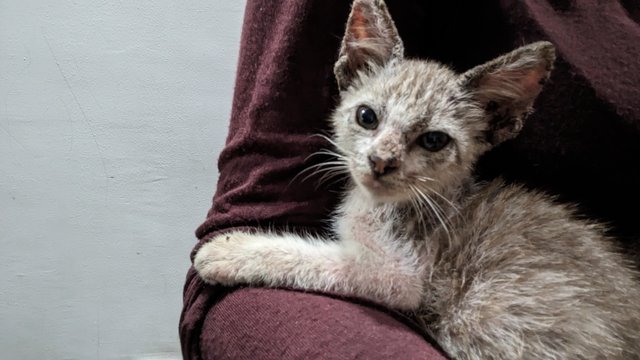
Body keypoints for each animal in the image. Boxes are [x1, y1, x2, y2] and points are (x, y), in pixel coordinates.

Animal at [194, 0, 640, 358]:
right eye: (367, 116)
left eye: (434, 140)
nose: (380, 161)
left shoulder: (399, 275)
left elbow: (318, 260)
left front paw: (229, 251)